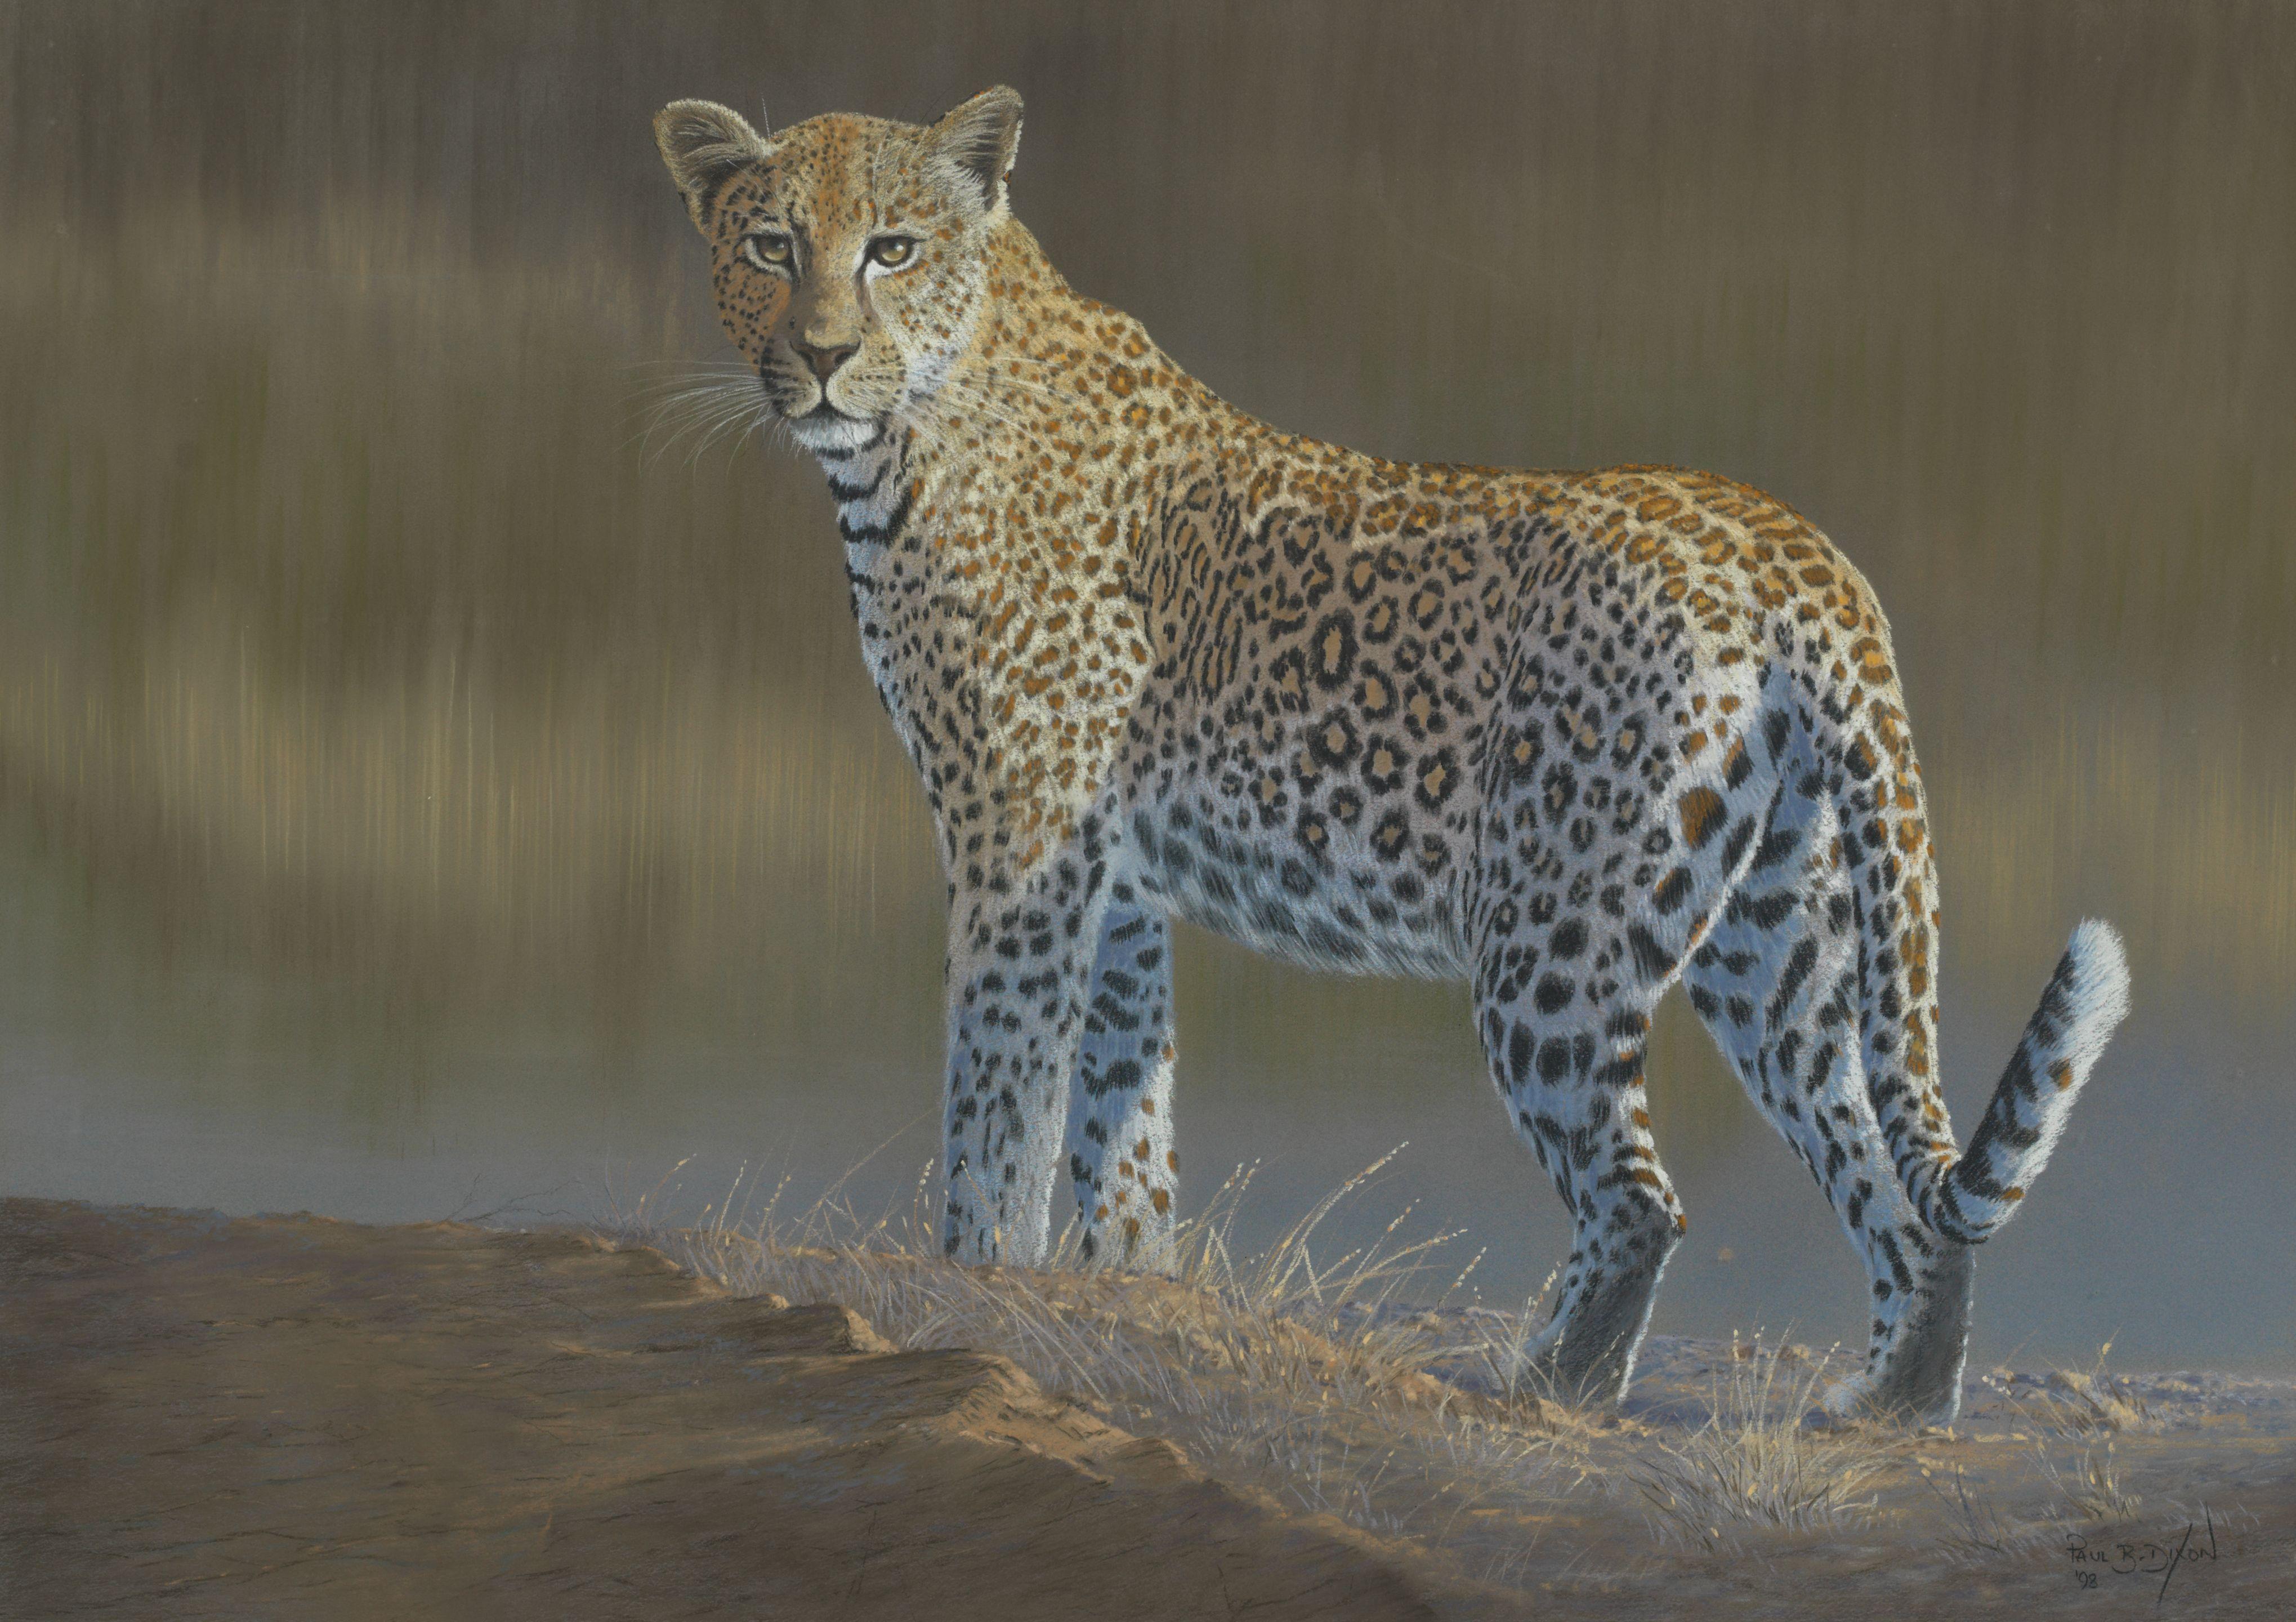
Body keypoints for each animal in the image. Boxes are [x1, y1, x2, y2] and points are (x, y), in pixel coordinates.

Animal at [651, 86, 2131, 1424]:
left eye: (891, 249)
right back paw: (1890, 1409)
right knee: (1899, 1194)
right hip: (1784, 941)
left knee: (1640, 1200)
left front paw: (979, 1286)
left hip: (1550, 936)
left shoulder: (1018, 841)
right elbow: (1123, 1119)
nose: (822, 356)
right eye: (771, 246)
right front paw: (1123, 1296)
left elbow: (998, 1092)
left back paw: (1543, 1391)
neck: (907, 442)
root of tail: (1792, 549)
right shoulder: (1113, 883)